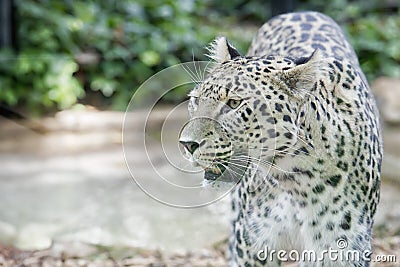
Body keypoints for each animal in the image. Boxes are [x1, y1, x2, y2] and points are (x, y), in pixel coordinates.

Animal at [180, 11, 382, 266]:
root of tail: (300, 12)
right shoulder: (252, 245)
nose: (187, 145)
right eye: (196, 99)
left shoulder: (341, 247)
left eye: (234, 103)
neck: (299, 180)